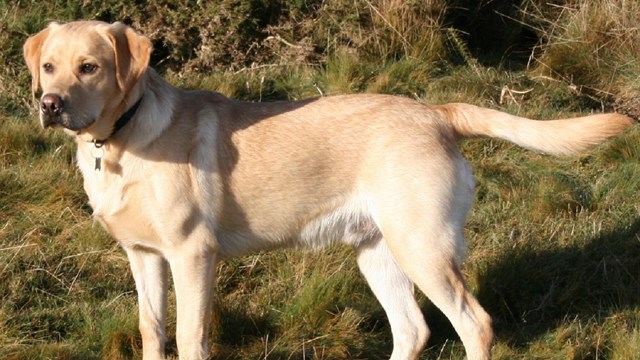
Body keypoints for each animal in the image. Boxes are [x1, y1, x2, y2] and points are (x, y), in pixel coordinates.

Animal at [23, 21, 636, 358]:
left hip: (423, 248)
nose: (48, 105)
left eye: (89, 67)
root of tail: (436, 112)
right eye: (48, 67)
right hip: (378, 253)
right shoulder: (144, 256)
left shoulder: (194, 256)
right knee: (412, 330)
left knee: (474, 325)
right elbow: (153, 333)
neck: (119, 143)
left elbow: (192, 339)